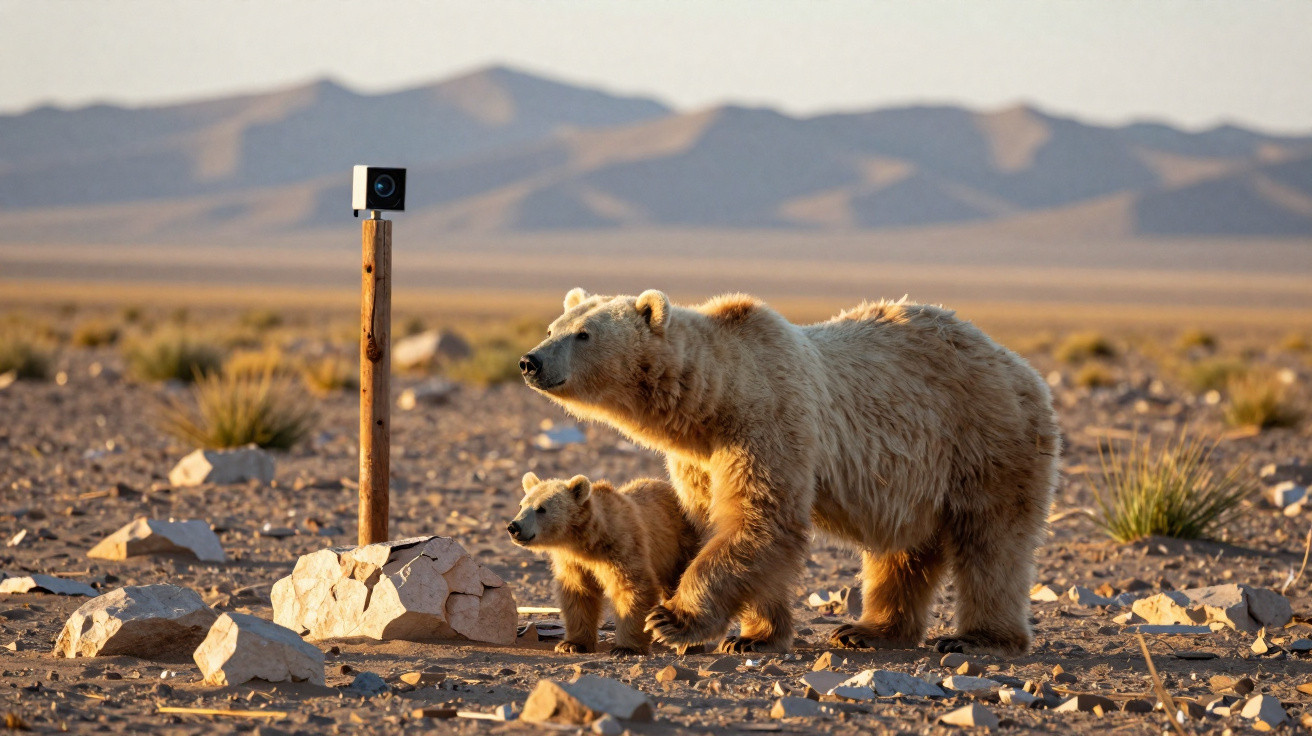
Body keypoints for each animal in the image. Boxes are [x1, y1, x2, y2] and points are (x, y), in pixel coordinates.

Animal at [507, 473, 702, 656]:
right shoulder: (573, 562)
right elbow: (578, 594)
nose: (514, 527)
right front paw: (571, 644)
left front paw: (626, 648)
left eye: (541, 508)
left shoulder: (621, 547)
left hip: (681, 543)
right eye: (522, 505)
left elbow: (632, 588)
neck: (586, 542)